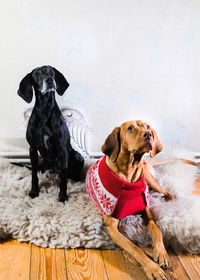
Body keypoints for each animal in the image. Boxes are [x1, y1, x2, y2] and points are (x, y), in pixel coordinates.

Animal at [17, 65, 85, 201]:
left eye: (51, 71)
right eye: (37, 74)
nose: (50, 80)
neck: (44, 110)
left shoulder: (62, 149)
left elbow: (63, 178)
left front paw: (63, 196)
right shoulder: (32, 149)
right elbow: (34, 175)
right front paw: (34, 191)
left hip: (78, 156)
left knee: (69, 174)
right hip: (40, 160)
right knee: (34, 170)